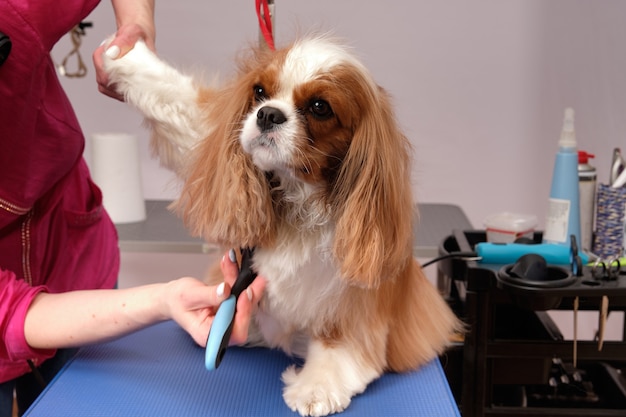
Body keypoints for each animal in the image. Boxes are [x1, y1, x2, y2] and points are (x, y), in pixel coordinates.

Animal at [102, 36, 460, 416]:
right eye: (259, 92)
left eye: (319, 107)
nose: (267, 114)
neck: (300, 201)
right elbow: (180, 103)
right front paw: (125, 56)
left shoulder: (352, 300)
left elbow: (339, 343)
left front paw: (317, 387)